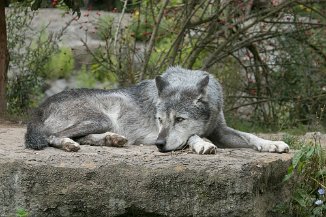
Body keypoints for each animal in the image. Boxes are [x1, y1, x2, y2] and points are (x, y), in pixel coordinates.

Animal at [26, 66, 290, 154]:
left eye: (180, 119)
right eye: (160, 119)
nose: (159, 145)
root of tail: (41, 106)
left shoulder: (221, 130)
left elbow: (250, 136)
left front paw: (273, 144)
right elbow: (193, 136)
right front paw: (203, 145)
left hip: (101, 123)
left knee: (84, 137)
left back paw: (112, 140)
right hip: (99, 118)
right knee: (53, 137)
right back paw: (69, 144)